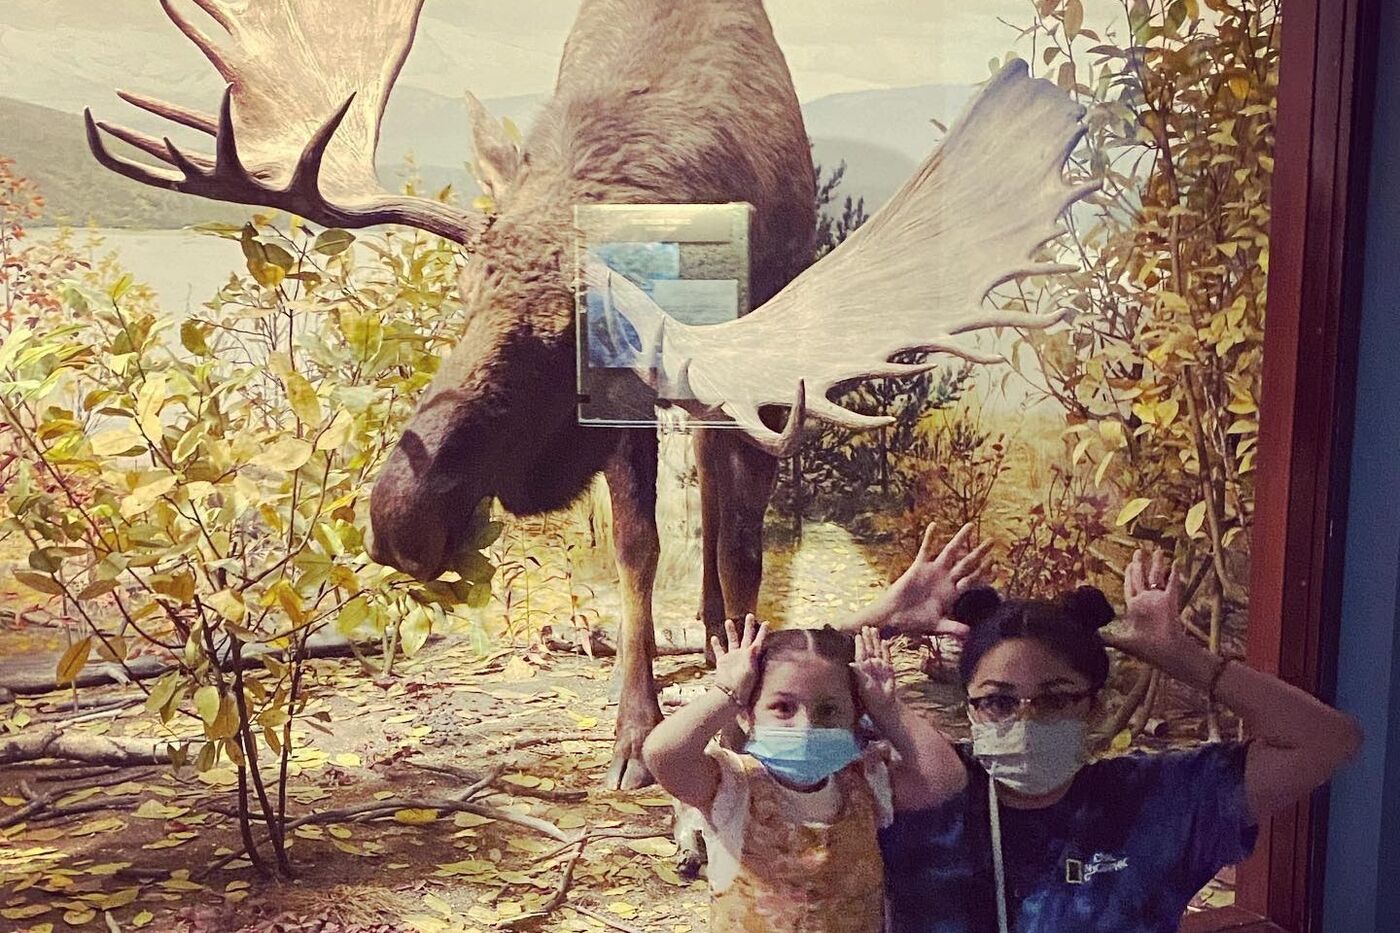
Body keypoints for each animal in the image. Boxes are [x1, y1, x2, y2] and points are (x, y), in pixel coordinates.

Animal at [87, 0, 1092, 784]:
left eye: (567, 338)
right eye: (463, 296)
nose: (400, 514)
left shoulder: (746, 375)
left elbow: (743, 549)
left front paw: (737, 698)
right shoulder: (643, 404)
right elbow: (640, 549)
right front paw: (635, 724)